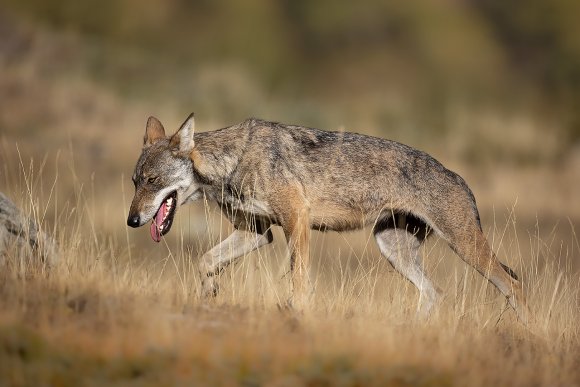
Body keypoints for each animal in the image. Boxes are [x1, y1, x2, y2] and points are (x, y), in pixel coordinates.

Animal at [125, 113, 532, 322]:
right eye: (134, 182)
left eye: (152, 181)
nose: (132, 221)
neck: (230, 163)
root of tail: (459, 177)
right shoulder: (258, 232)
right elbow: (205, 261)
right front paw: (209, 294)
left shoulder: (297, 220)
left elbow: (299, 282)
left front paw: (297, 315)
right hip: (392, 249)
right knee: (434, 293)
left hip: (465, 248)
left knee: (516, 286)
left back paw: (524, 336)